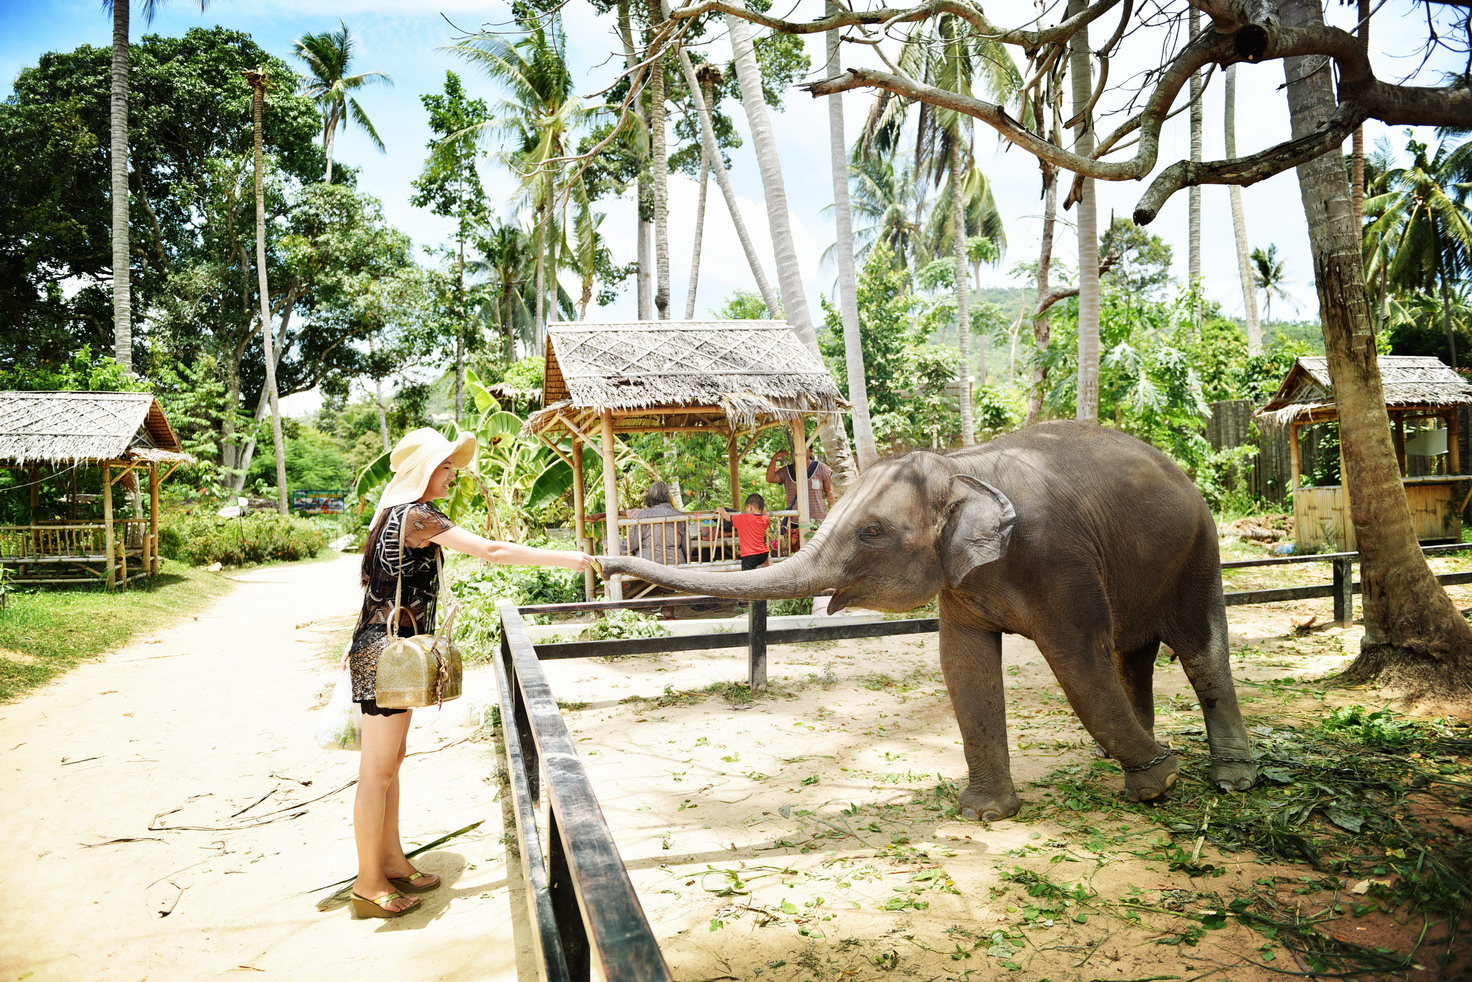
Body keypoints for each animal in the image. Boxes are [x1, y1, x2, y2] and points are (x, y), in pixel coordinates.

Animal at [603, 424, 1260, 824]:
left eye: (870, 532)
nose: (603, 562)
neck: (958, 466)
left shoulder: (1057, 558)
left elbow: (1077, 660)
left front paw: (1162, 782)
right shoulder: (963, 580)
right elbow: (962, 663)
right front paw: (985, 814)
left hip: (1199, 547)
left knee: (1199, 649)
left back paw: (1228, 780)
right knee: (1133, 653)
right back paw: (1115, 761)